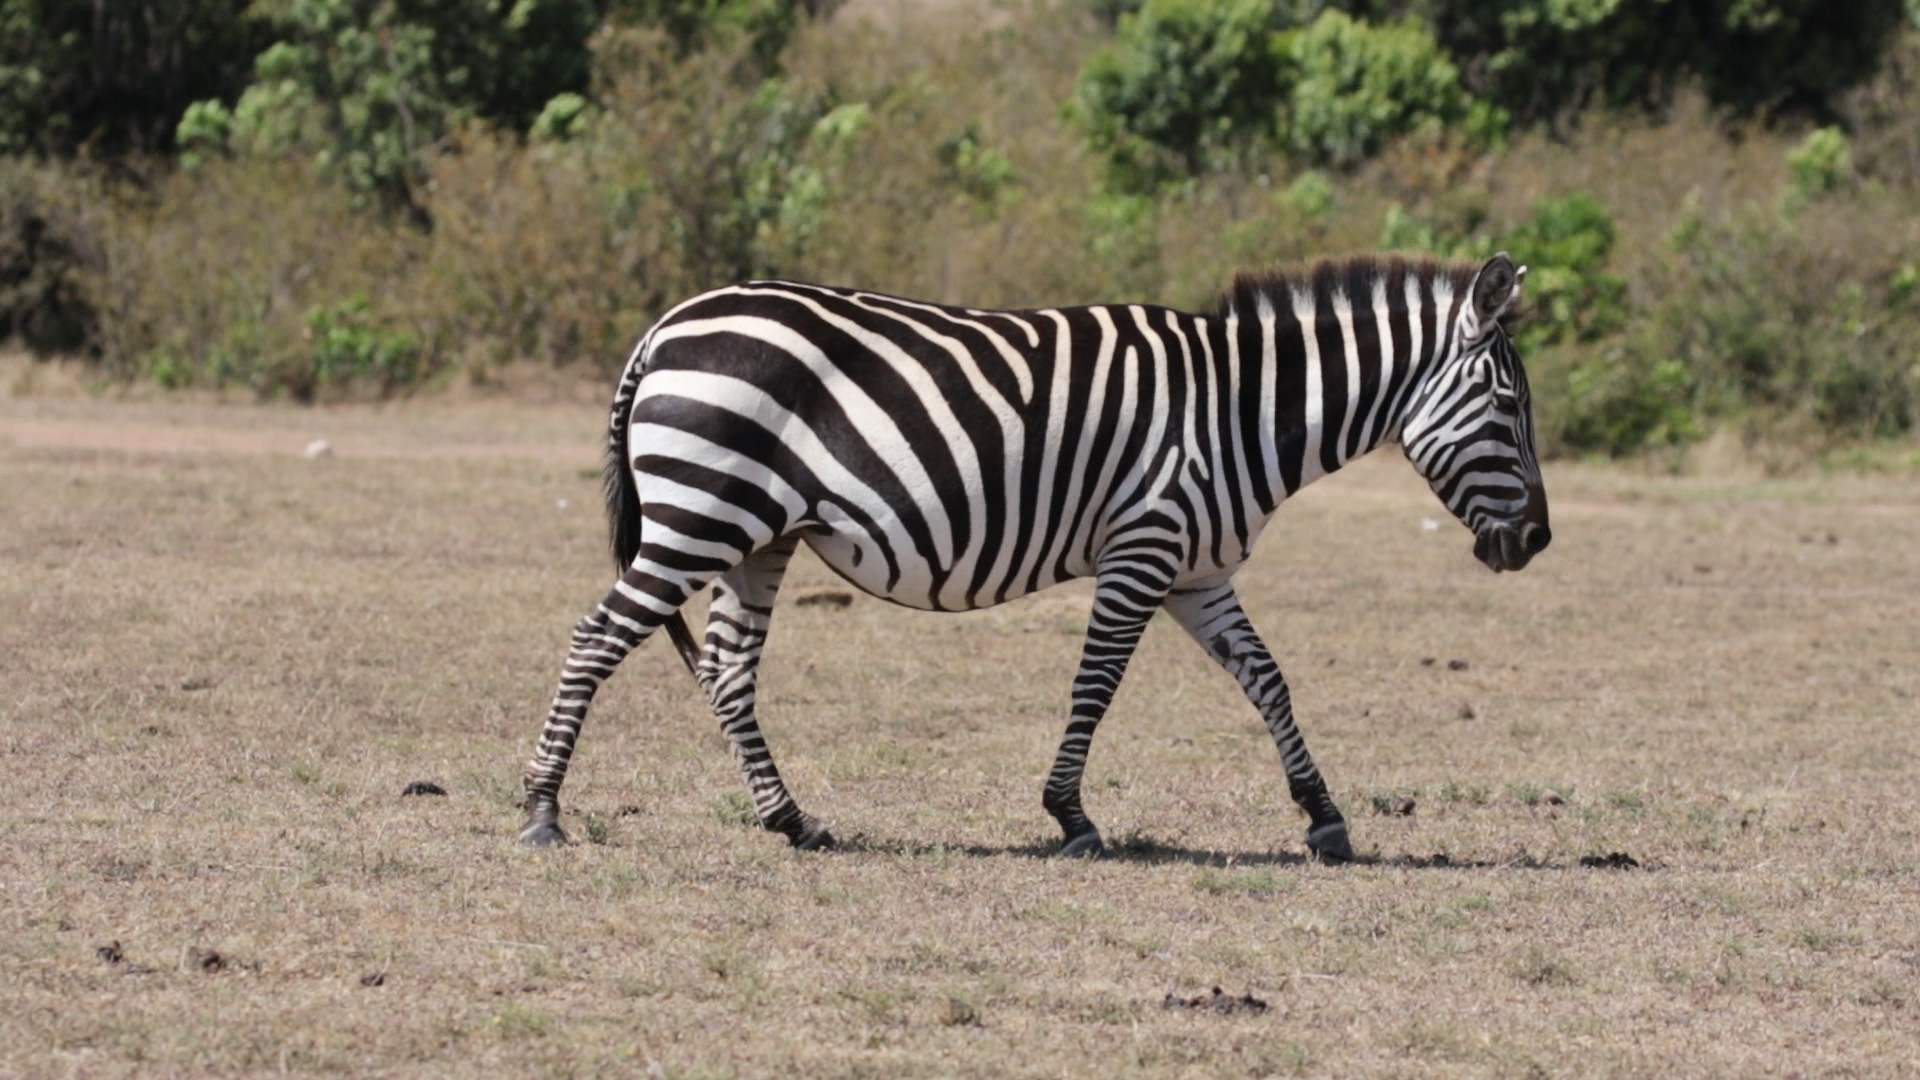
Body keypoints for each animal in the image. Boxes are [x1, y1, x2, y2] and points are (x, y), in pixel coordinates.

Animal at [518, 249, 1551, 857]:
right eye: (1508, 406)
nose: (1537, 541)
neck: (1237, 414)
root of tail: (667, 324)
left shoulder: (1198, 571)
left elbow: (1269, 680)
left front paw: (1324, 817)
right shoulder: (1144, 548)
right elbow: (1095, 685)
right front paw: (1072, 817)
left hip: (755, 537)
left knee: (728, 669)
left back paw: (793, 820)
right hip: (698, 516)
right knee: (595, 639)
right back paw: (542, 812)